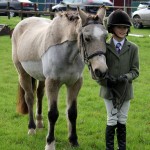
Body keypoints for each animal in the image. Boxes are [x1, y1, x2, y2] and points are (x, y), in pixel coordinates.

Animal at [11, 6, 108, 150]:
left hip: (41, 78)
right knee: (29, 98)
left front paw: (73, 140)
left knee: (39, 95)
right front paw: (50, 143)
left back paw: (39, 123)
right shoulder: (52, 83)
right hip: (23, 74)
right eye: (87, 38)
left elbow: (72, 112)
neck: (67, 54)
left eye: (105, 37)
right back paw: (32, 128)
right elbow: (53, 114)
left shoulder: (75, 83)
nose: (101, 71)